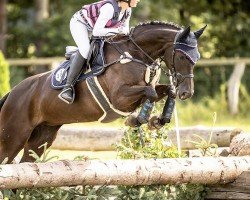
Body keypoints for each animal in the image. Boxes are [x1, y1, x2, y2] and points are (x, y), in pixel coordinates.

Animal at [0, 21, 206, 163]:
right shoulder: (119, 97)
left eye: (197, 57)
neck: (135, 54)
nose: (187, 93)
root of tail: (11, 94)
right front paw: (137, 120)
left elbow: (167, 90)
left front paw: (157, 121)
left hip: (42, 137)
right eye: (182, 56)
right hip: (14, 136)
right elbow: (151, 92)